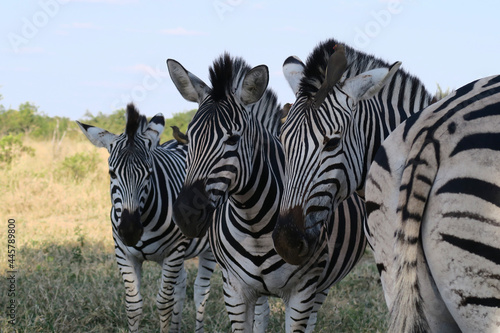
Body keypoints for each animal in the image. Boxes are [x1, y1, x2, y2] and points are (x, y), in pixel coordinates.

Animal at [75, 102, 216, 330]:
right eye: (111, 173)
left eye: (149, 173)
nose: (130, 230)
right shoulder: (124, 253)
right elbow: (133, 305)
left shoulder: (175, 250)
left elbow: (164, 304)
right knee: (181, 286)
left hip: (208, 248)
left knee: (201, 293)